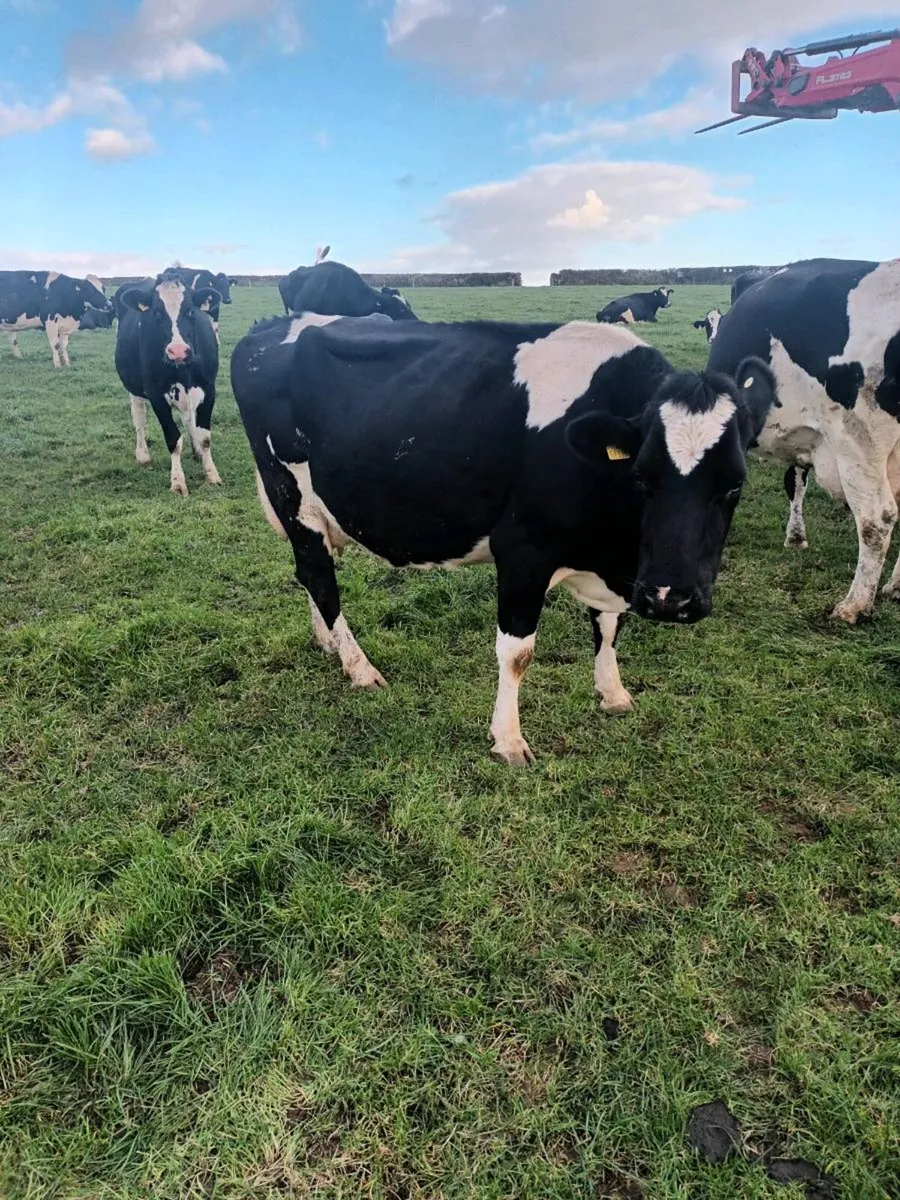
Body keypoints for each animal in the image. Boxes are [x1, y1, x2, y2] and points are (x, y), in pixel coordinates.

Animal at [114, 269, 222, 496]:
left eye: (190, 311)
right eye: (156, 313)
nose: (178, 351)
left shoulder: (209, 389)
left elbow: (205, 436)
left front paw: (212, 475)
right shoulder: (157, 395)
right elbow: (173, 439)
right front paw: (178, 482)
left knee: (188, 418)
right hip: (134, 388)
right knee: (139, 417)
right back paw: (143, 455)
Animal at [231, 313, 774, 765]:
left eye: (734, 484)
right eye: (642, 476)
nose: (670, 598)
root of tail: (268, 327)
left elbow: (608, 626)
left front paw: (613, 693)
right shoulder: (522, 552)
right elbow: (517, 653)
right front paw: (509, 740)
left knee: (309, 574)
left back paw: (328, 643)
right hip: (292, 494)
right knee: (319, 576)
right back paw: (359, 668)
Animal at [708, 257, 900, 623]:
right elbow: (795, 481)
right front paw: (796, 537)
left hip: (857, 441)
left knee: (876, 519)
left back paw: (854, 605)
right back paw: (895, 587)